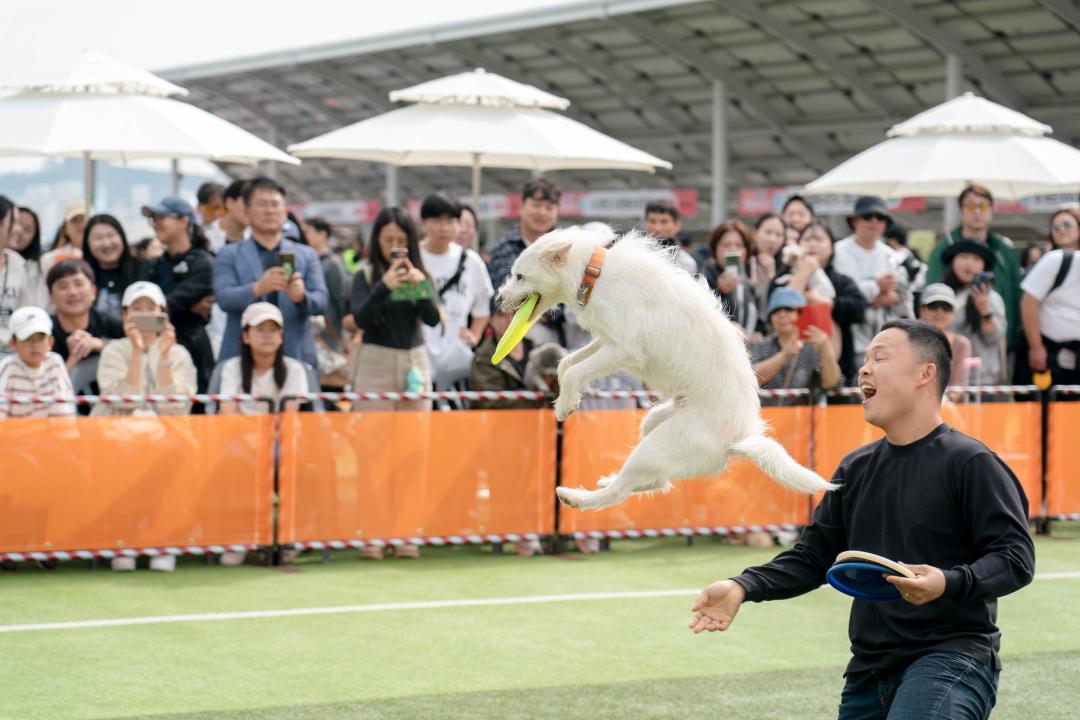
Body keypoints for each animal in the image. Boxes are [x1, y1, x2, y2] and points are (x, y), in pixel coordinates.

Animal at [496, 226, 833, 511]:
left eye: (520, 276)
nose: (498, 298)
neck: (593, 272)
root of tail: (738, 439)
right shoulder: (605, 339)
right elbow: (567, 363)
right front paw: (566, 396)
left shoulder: (622, 348)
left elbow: (575, 372)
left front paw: (565, 405)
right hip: (654, 423)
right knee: (657, 481)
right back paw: (607, 480)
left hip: (657, 446)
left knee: (621, 492)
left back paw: (576, 497)